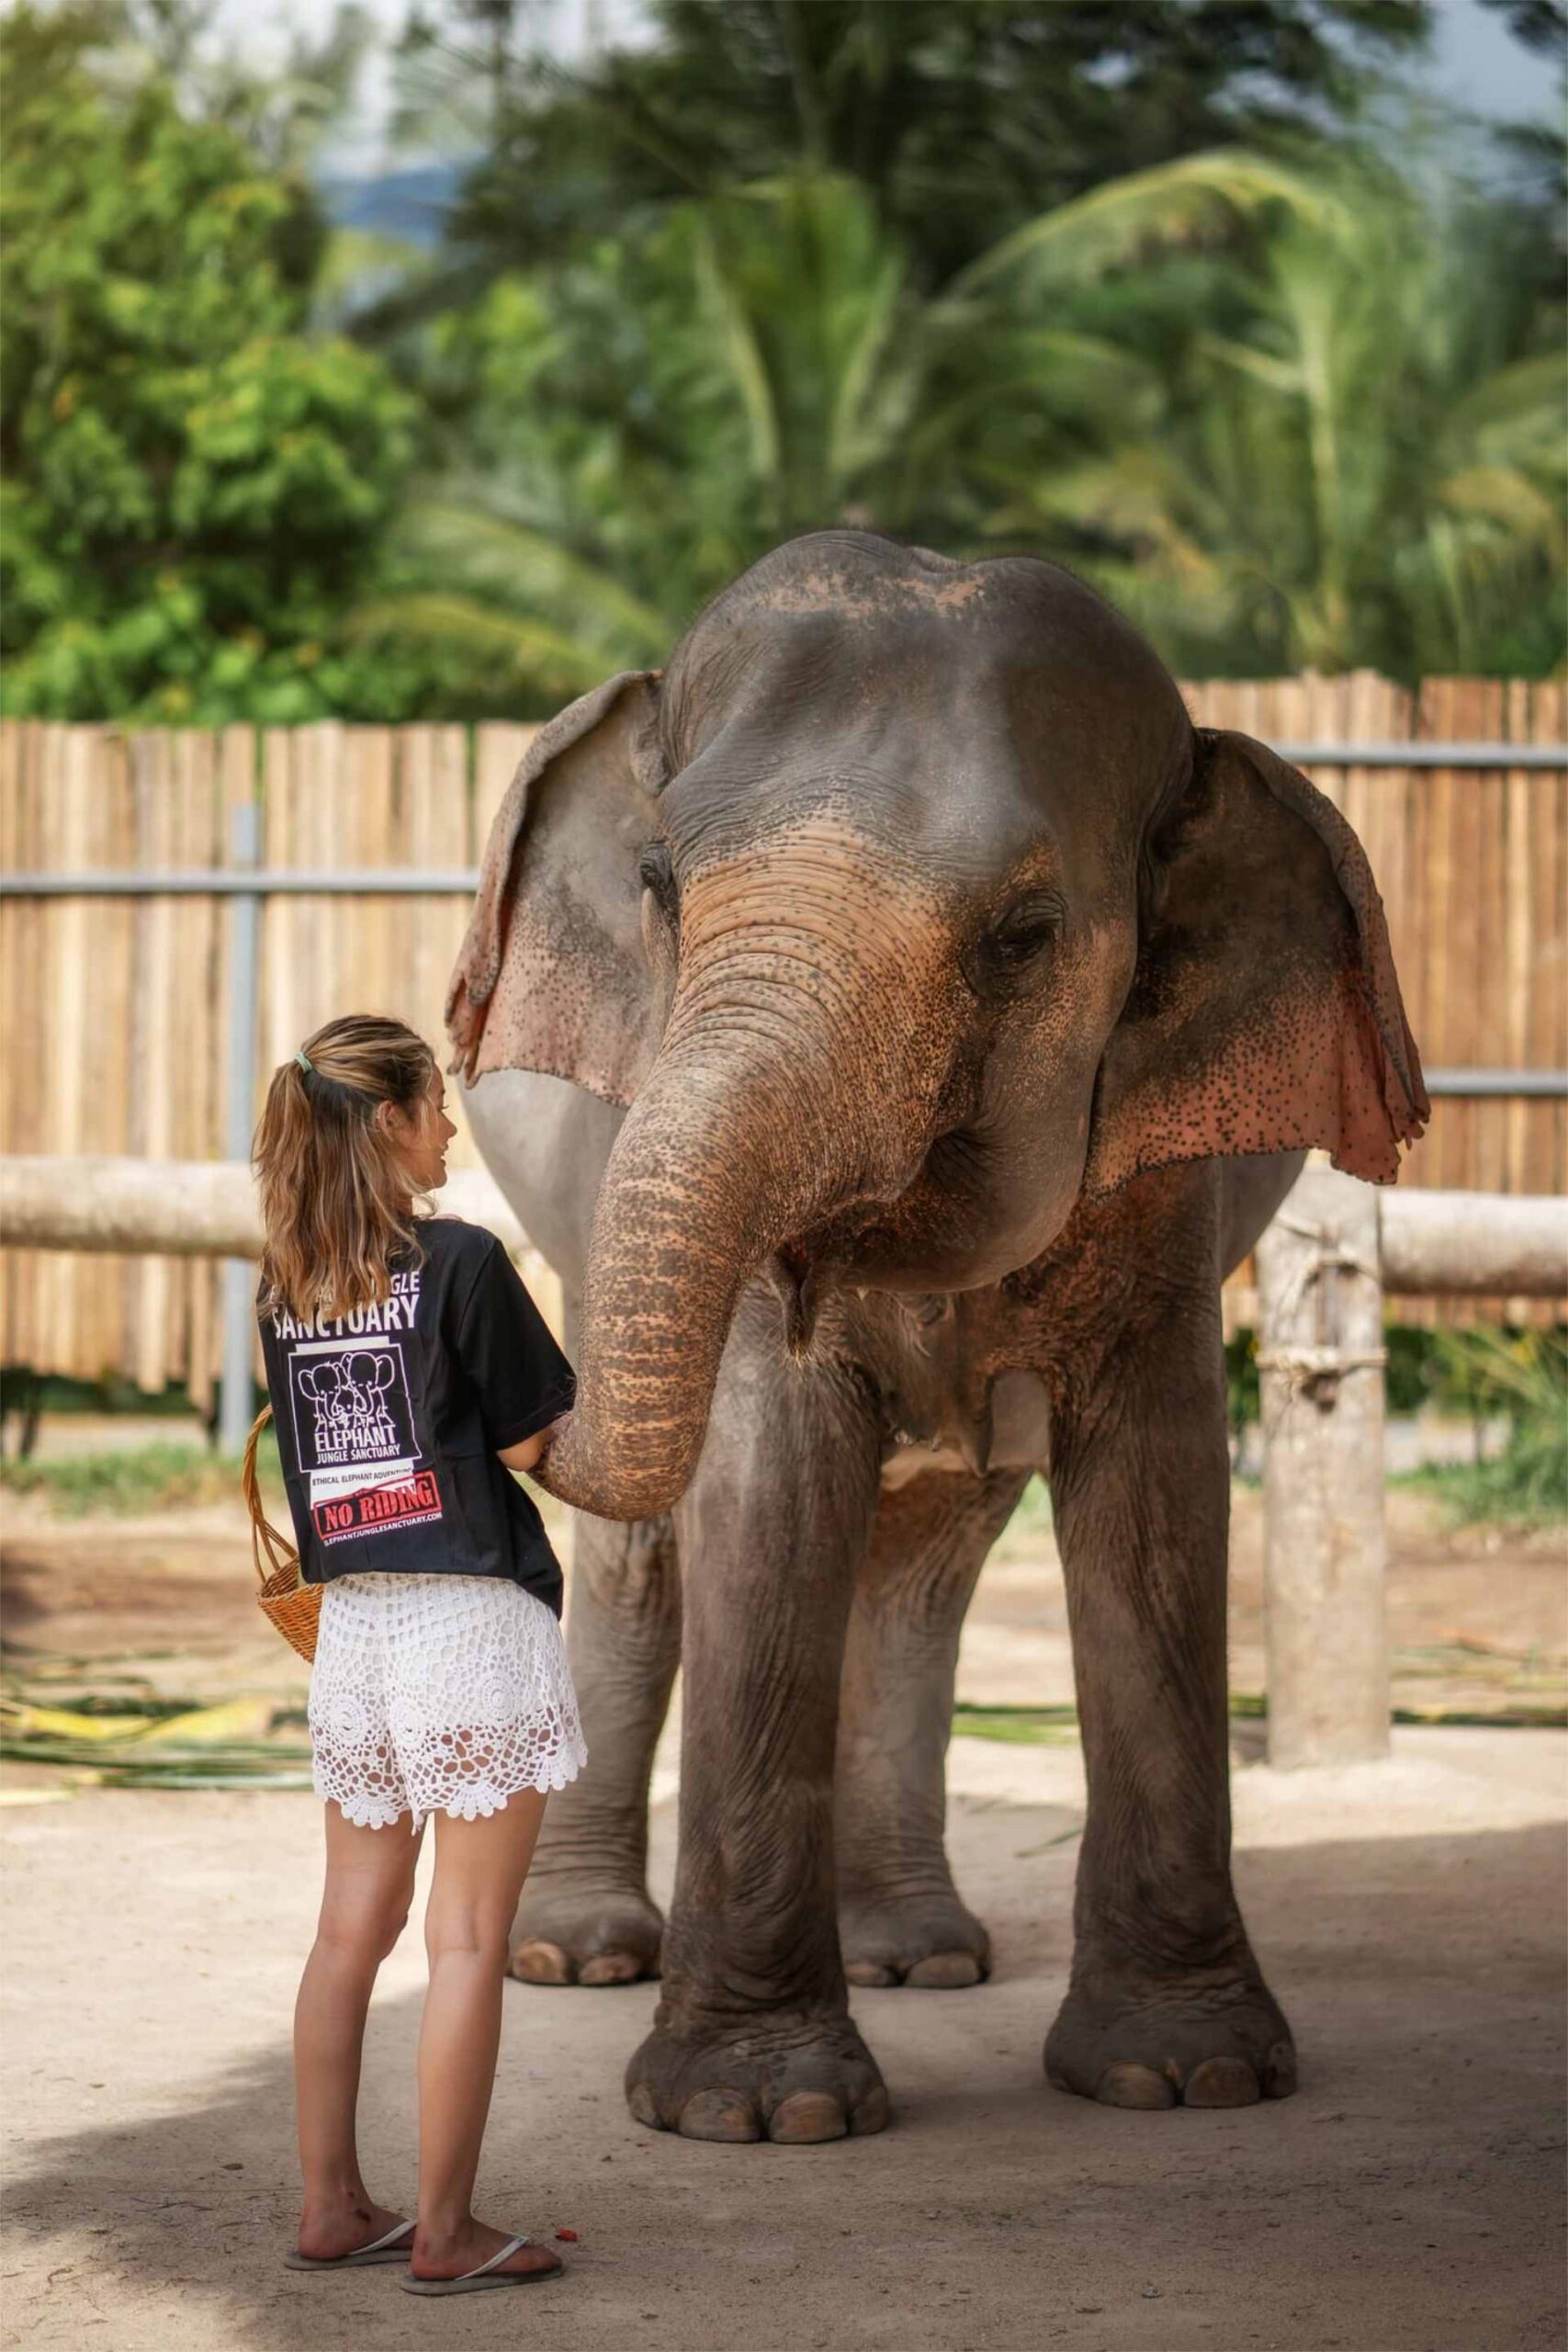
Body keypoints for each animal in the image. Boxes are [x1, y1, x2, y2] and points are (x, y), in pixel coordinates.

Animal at [444, 529, 1426, 2146]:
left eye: (1023, 938)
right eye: (659, 886)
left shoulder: (1160, 1178)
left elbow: (1155, 1500)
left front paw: (1187, 2078)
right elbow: (767, 1472)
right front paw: (758, 2115)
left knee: (923, 1567)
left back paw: (918, 1955)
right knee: (659, 1557)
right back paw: (572, 1958)